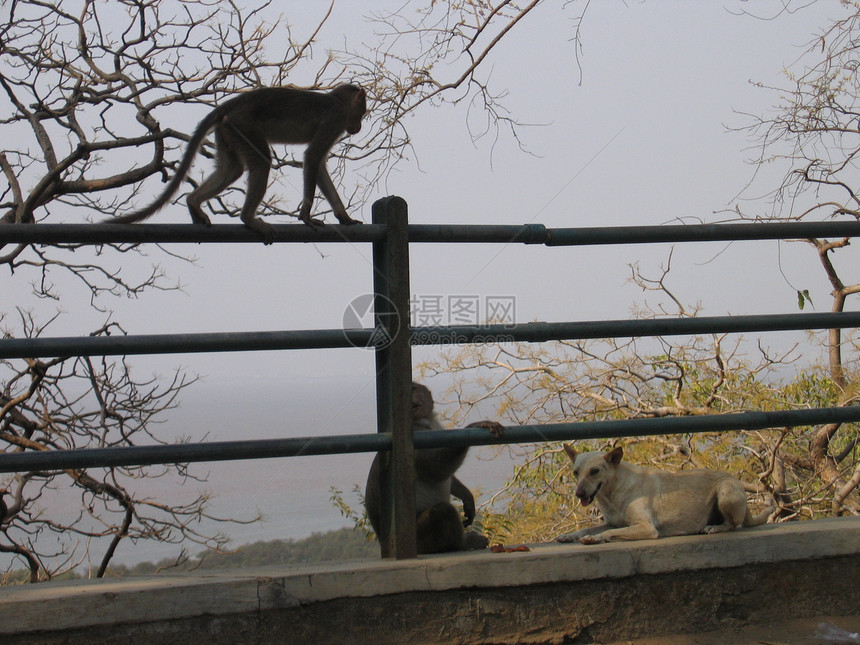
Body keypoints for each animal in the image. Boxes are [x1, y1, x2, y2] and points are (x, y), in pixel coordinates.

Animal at [104, 85, 366, 244]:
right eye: (362, 113)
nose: (359, 127)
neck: (336, 100)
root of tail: (234, 104)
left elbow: (319, 165)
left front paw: (344, 217)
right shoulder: (336, 119)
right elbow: (312, 157)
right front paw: (306, 216)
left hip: (226, 129)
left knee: (231, 170)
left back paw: (194, 202)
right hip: (242, 125)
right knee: (262, 162)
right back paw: (248, 218)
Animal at [364, 382, 504, 552]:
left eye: (414, 389)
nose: (411, 400)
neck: (425, 421)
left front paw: (466, 496)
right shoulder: (415, 438)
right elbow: (436, 469)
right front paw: (473, 427)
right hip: (419, 539)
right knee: (442, 511)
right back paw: (464, 543)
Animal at [556, 442, 772, 544]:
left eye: (595, 471)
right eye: (576, 472)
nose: (578, 493)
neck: (612, 493)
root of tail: (736, 481)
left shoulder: (646, 527)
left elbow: (609, 533)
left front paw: (595, 538)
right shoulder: (611, 521)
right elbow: (589, 529)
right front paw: (569, 535)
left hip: (725, 492)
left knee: (733, 524)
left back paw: (714, 528)